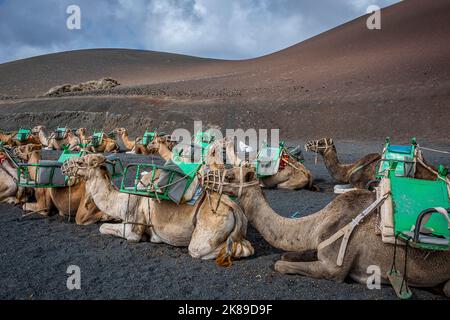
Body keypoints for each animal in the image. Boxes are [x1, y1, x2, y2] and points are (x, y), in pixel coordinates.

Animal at [61, 154, 255, 264]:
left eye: (81, 162)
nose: (63, 166)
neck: (123, 200)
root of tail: (235, 209)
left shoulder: (132, 228)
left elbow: (104, 228)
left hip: (207, 232)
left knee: (204, 249)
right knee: (246, 247)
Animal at [203, 165, 450, 298]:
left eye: (230, 176)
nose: (204, 177)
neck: (319, 224)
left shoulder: (334, 267)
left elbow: (281, 264)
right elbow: (286, 255)